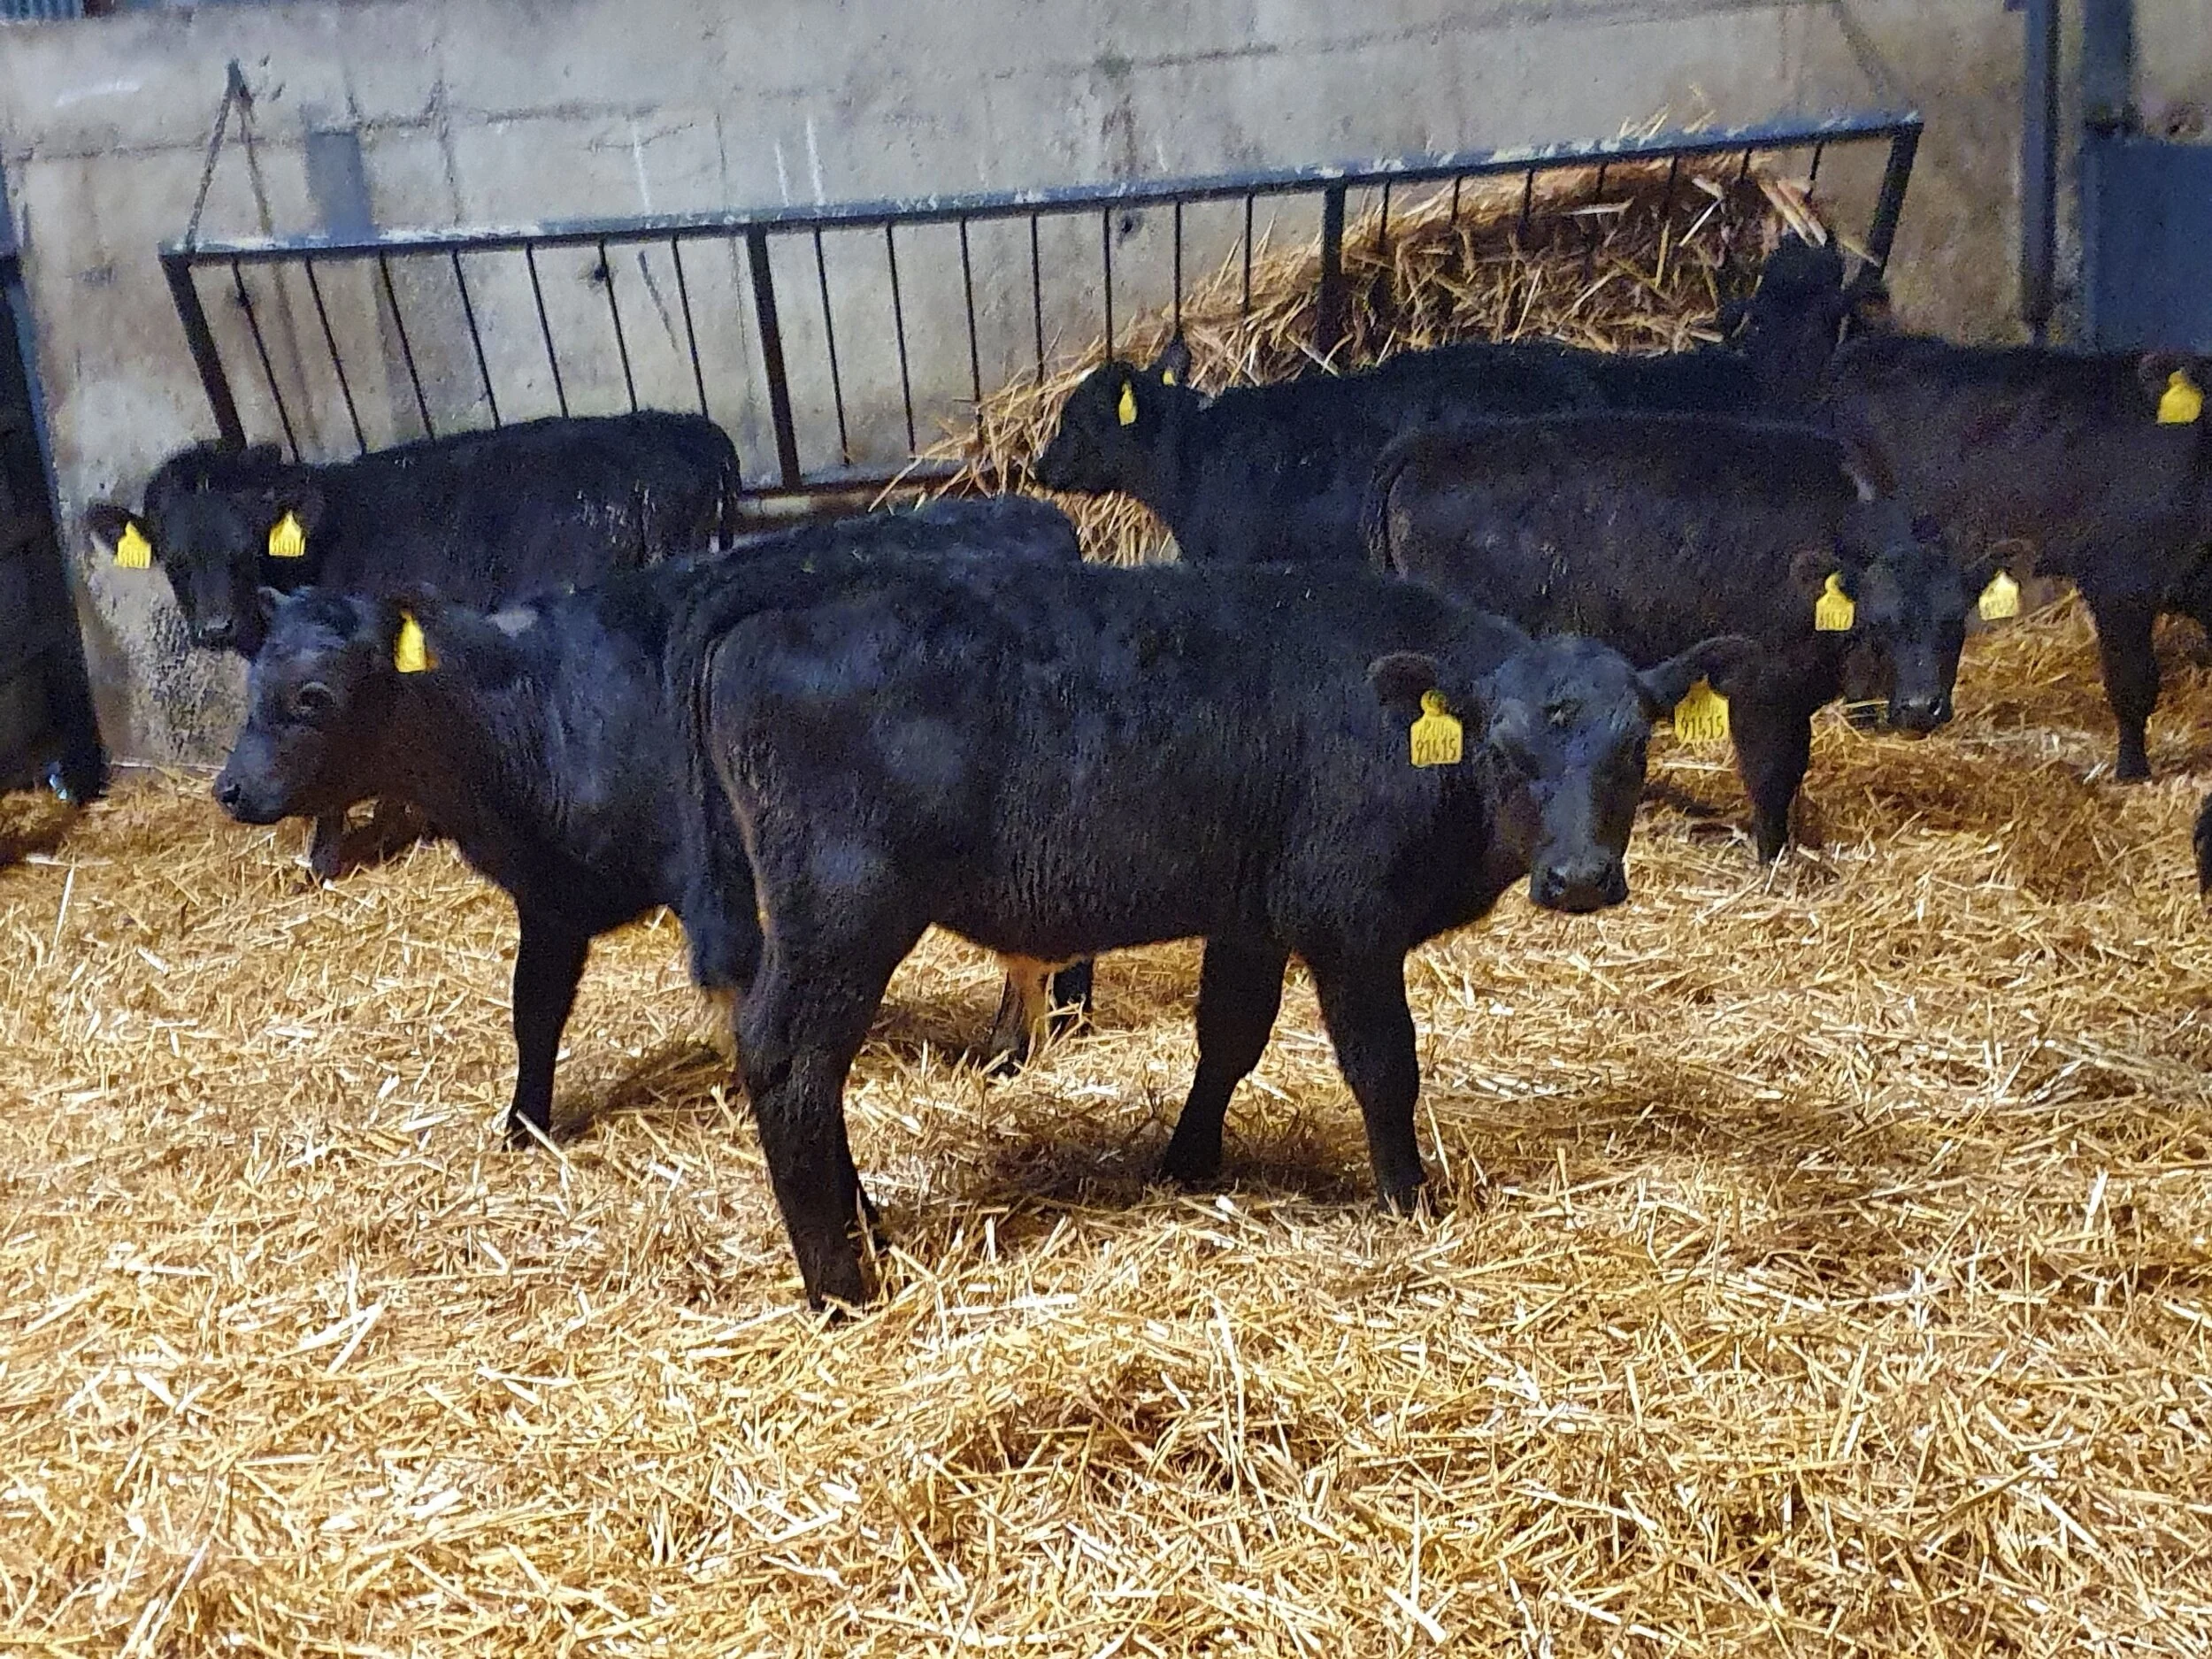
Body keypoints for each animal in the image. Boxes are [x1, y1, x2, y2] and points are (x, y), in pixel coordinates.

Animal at [211, 496, 1094, 1146]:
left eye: (313, 697)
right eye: (253, 682)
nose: (229, 789)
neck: (535, 715)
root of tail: (1025, 511)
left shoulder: (704, 878)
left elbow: (733, 988)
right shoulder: (551, 898)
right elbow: (533, 1008)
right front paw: (524, 1125)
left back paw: (1018, 1046)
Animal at [672, 555, 1748, 1306]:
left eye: (1636, 748)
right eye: (1504, 748)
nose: (1580, 879)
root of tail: (781, 599)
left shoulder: (1253, 915)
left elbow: (1229, 1036)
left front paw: (1187, 1161)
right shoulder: (1351, 921)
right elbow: (1383, 1066)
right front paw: (1409, 1197)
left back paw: (871, 1231)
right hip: (843, 909)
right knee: (788, 1059)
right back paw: (842, 1285)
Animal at [1364, 412, 1990, 861]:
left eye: (1956, 622)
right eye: (1879, 624)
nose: (1920, 708)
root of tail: (1425, 445)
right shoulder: (1764, 687)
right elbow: (1775, 772)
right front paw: (1775, 861)